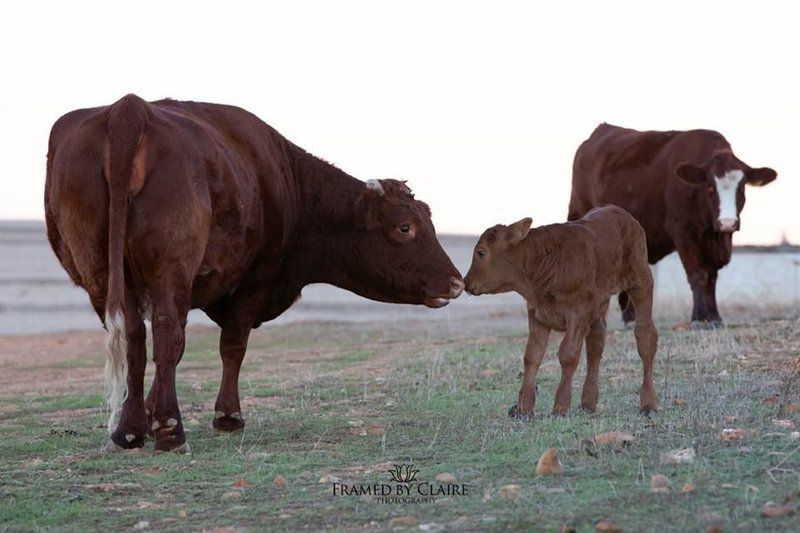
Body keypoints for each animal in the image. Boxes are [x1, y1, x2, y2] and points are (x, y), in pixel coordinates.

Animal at [462, 206, 656, 418]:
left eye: (481, 252)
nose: (466, 282)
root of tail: (619, 211)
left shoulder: (579, 313)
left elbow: (568, 354)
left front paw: (561, 407)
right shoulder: (537, 312)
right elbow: (532, 355)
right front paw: (524, 408)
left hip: (641, 281)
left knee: (645, 337)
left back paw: (648, 403)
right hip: (600, 303)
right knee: (596, 344)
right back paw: (588, 403)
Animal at [572, 123, 780, 324]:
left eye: (742, 187)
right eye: (710, 187)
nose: (727, 223)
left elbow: (712, 278)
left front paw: (714, 316)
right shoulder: (683, 233)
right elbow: (698, 275)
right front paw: (699, 317)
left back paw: (630, 318)